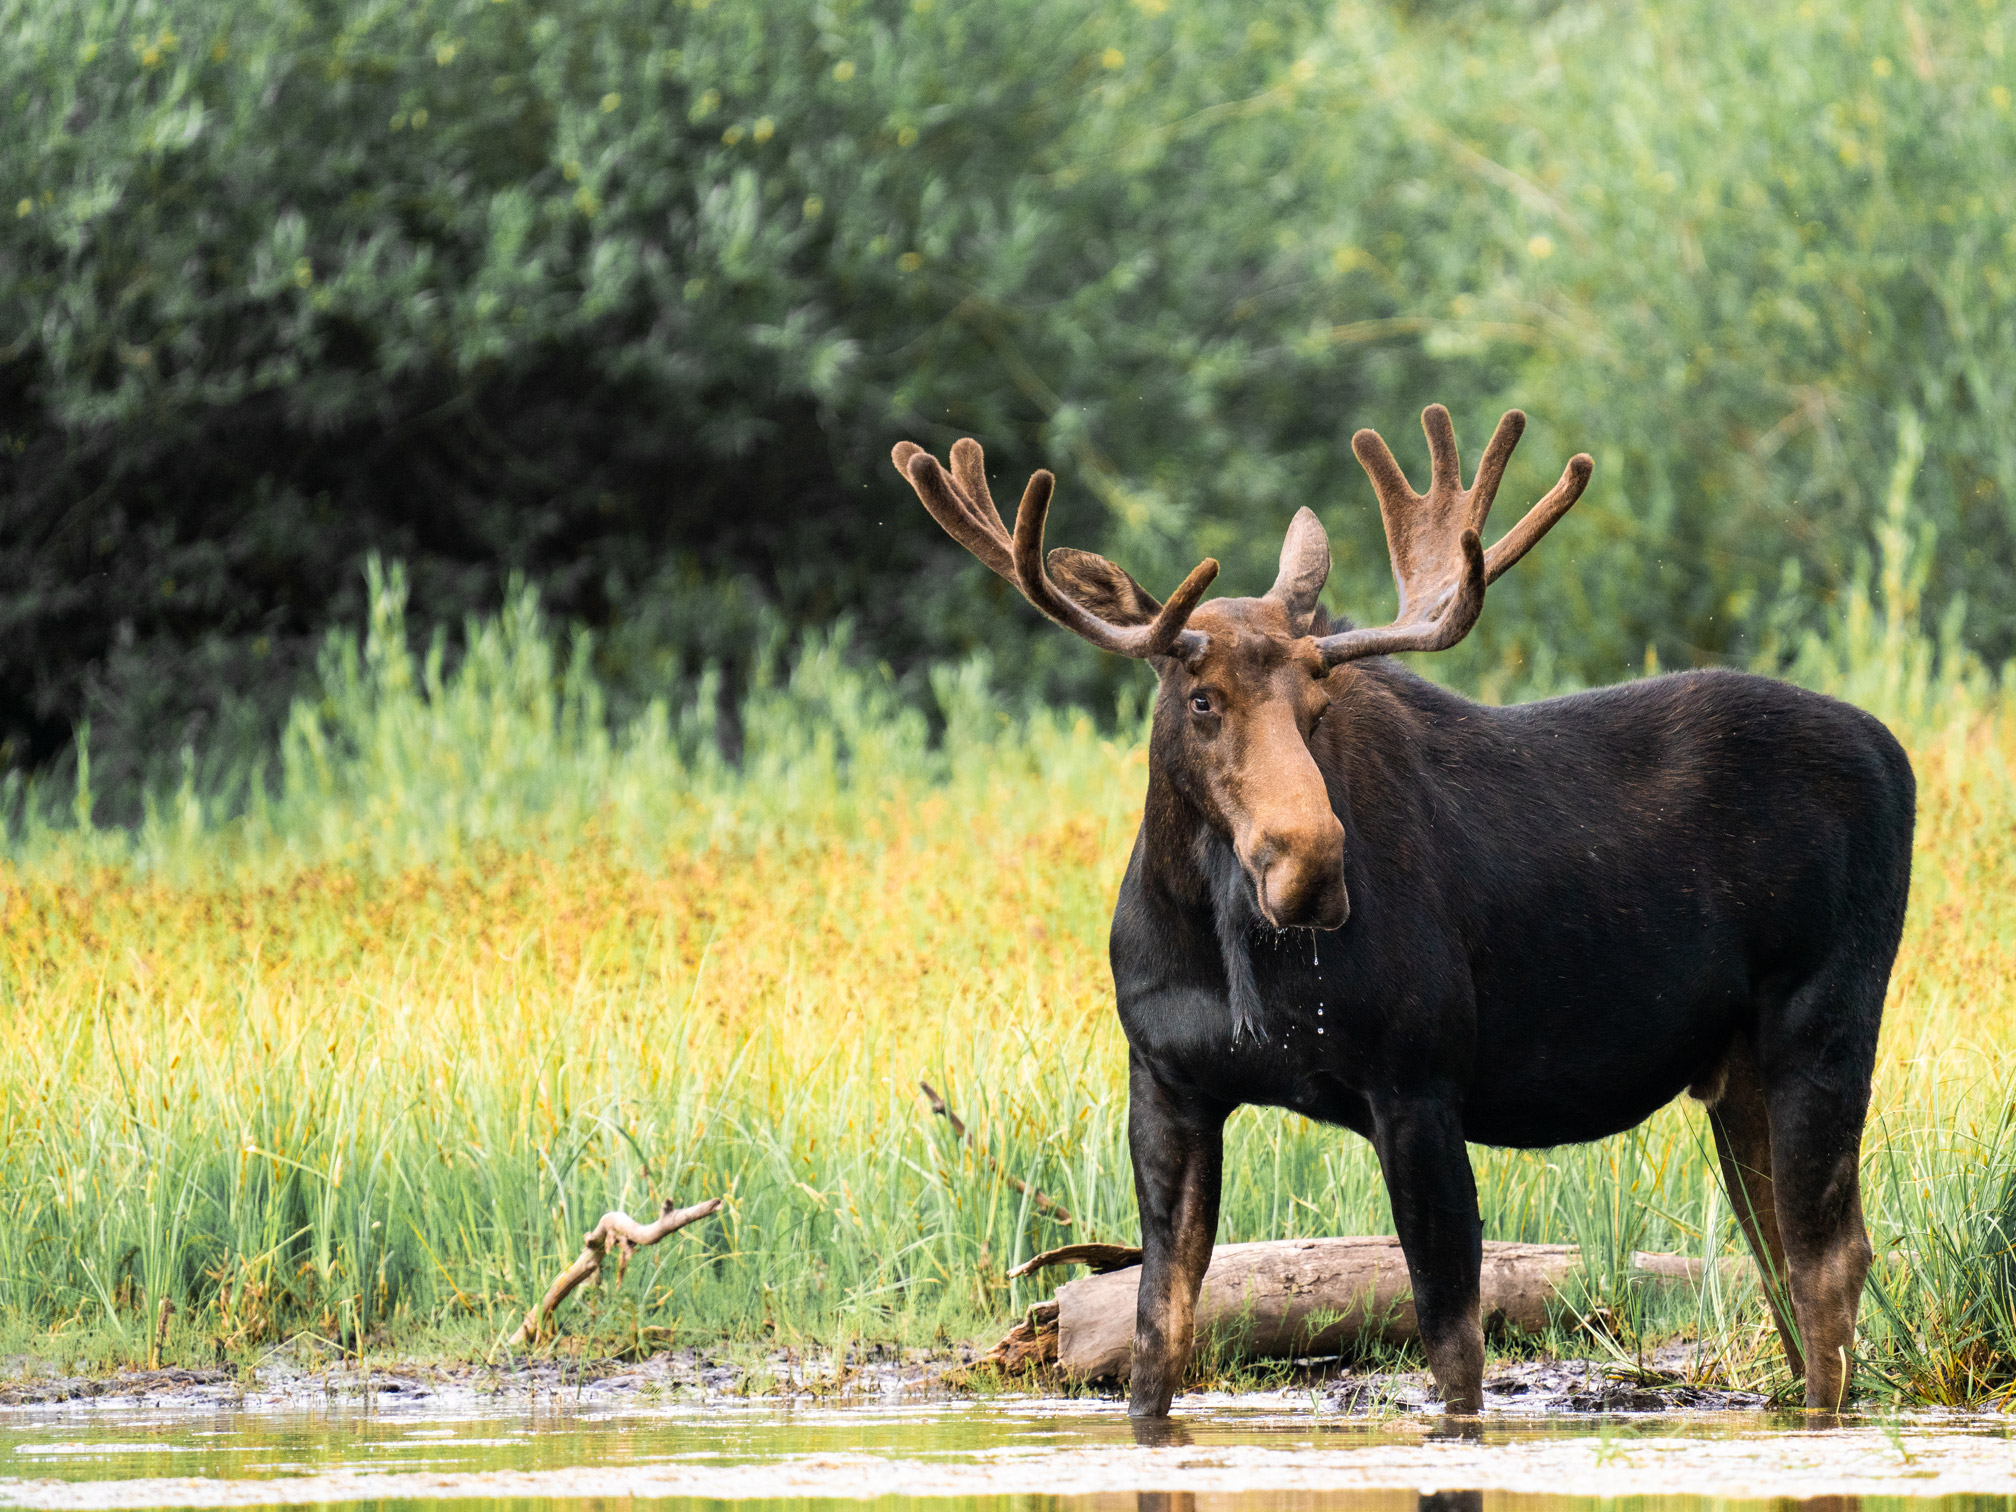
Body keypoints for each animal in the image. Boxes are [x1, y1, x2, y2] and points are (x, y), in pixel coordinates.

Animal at [891, 405, 1911, 1419]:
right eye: (1202, 699)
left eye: (1315, 703)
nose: (1311, 864)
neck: (1220, 948)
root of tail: (1896, 758)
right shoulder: (1167, 1080)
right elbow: (1156, 1341)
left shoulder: (1418, 1079)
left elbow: (1453, 1349)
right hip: (1735, 1068)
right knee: (1782, 1258)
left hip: (1824, 1020)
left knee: (1828, 1259)